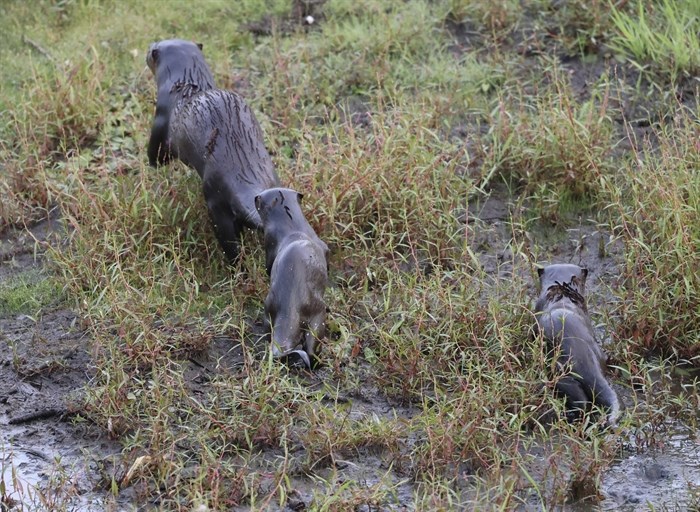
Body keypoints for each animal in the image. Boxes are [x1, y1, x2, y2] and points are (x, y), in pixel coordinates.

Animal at [146, 38, 280, 262]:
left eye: (150, 50)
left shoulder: (161, 117)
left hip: (214, 198)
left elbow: (157, 156)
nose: (147, 52)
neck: (186, 86)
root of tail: (243, 174)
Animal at [256, 188, 330, 368]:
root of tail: (290, 307)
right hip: (317, 317)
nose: (254, 197)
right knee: (311, 348)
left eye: (259, 199)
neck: (293, 227)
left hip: (272, 308)